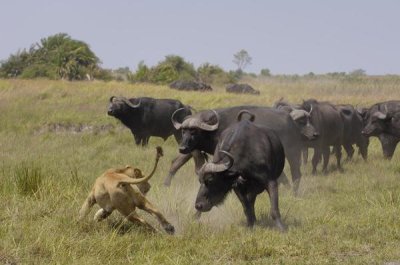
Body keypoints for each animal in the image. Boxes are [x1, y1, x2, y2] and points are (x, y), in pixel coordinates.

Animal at [166, 105, 318, 194]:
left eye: (194, 131)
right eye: (184, 131)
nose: (182, 147)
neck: (217, 129)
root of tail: (291, 122)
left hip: (293, 152)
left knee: (296, 173)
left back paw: (294, 193)